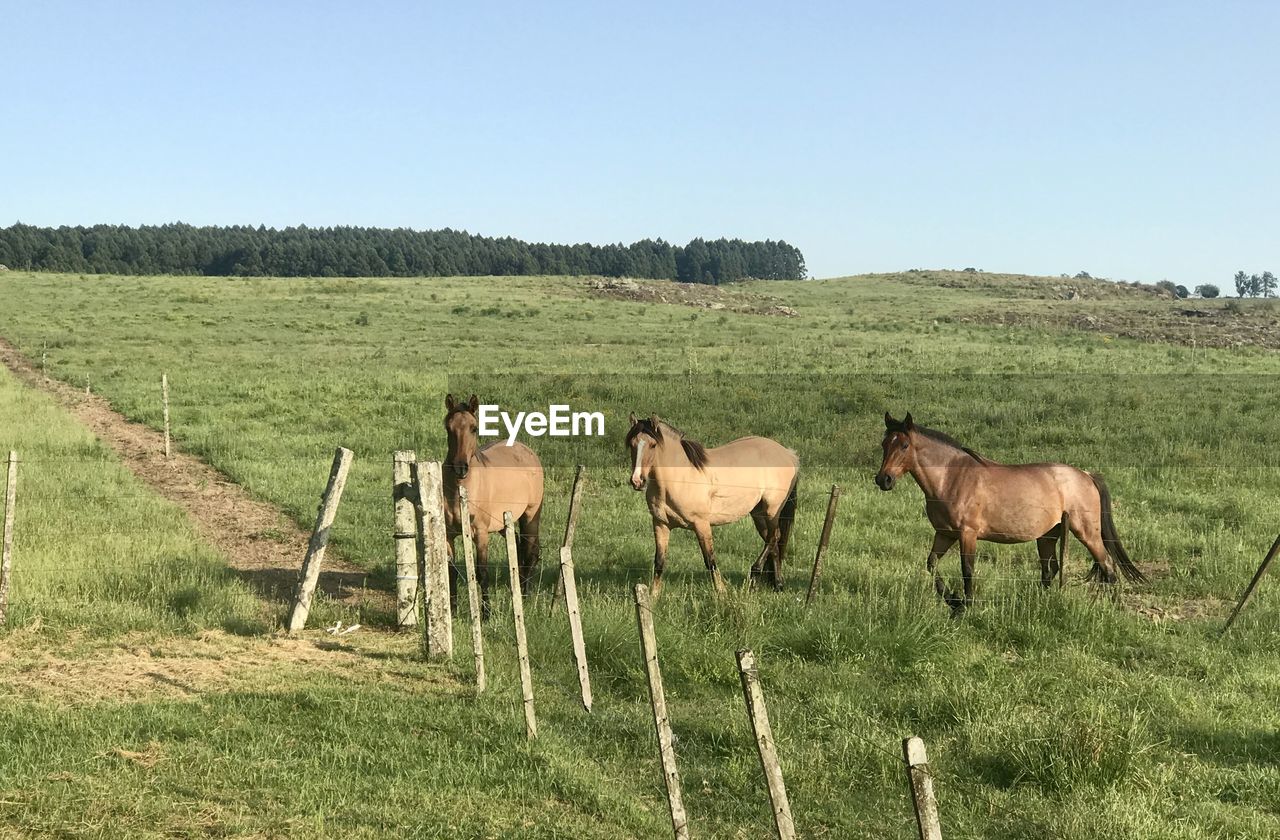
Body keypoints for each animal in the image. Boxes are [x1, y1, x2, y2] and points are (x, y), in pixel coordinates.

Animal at [442, 394, 542, 617]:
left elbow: (482, 572)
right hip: (505, 524)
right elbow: (451, 572)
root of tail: (527, 450)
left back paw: (525, 596)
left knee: (530, 553)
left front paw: (486, 613)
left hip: (530, 516)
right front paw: (452, 611)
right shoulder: (448, 535)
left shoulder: (480, 533)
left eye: (474, 428)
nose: (460, 468)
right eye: (448, 428)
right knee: (518, 552)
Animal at [624, 414, 793, 596]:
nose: (637, 481)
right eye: (632, 444)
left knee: (773, 538)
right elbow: (659, 562)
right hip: (758, 514)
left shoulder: (702, 524)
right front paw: (653, 595)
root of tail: (789, 454)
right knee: (774, 542)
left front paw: (721, 592)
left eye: (653, 445)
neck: (680, 478)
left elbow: (710, 560)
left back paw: (756, 575)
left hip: (772, 510)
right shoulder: (661, 524)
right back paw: (778, 585)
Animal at [875, 412, 1146, 609]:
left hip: (1087, 533)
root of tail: (1087, 475)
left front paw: (965, 606)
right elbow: (931, 565)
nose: (883, 480)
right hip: (1048, 535)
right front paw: (952, 600)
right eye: (884, 443)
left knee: (1108, 567)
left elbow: (967, 570)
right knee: (1050, 570)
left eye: (905, 445)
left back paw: (1112, 609)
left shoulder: (967, 534)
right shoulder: (944, 533)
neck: (952, 478)